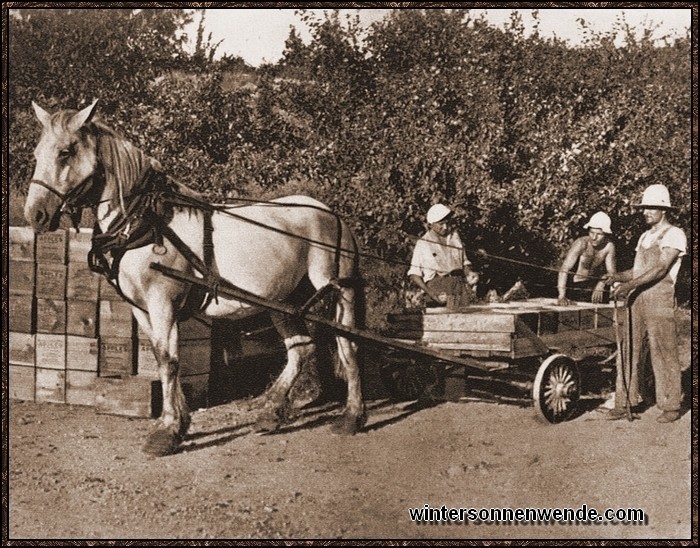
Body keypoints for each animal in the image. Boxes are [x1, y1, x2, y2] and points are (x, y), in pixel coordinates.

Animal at [23, 100, 366, 456]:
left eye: (65, 152)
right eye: (36, 153)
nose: (35, 214)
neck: (147, 224)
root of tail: (333, 214)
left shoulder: (163, 302)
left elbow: (170, 360)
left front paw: (167, 431)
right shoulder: (142, 308)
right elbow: (161, 357)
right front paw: (177, 422)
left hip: (337, 290)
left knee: (348, 345)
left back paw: (352, 416)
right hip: (283, 301)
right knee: (301, 348)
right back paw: (270, 409)